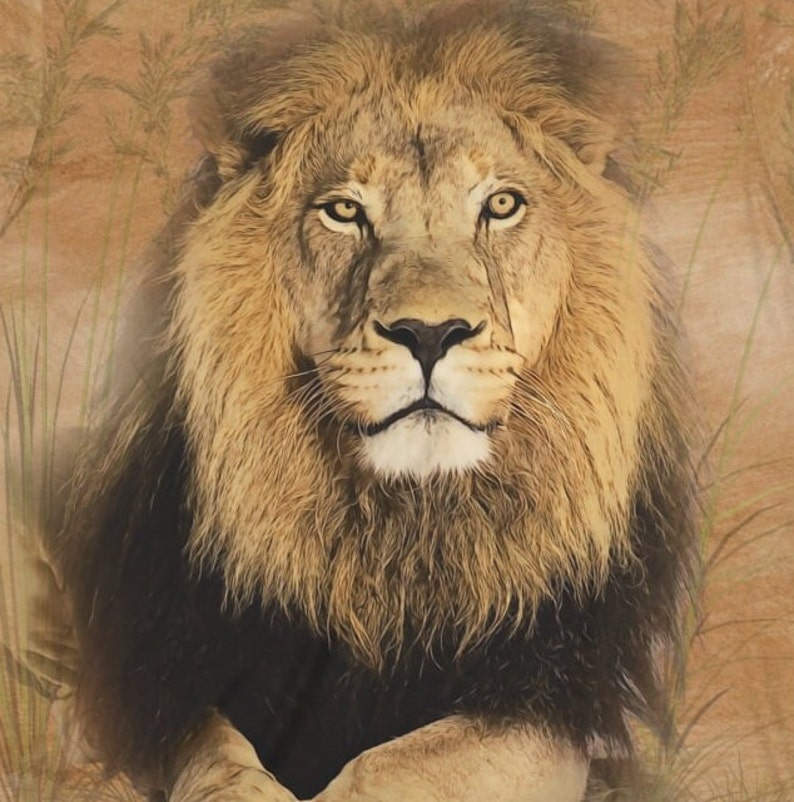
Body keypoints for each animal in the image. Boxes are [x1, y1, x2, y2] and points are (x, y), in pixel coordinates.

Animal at [52, 2, 697, 801]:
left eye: (501, 205)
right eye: (343, 211)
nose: (430, 332)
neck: (399, 531)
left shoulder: (546, 698)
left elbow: (395, 763)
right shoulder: (173, 680)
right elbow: (218, 761)